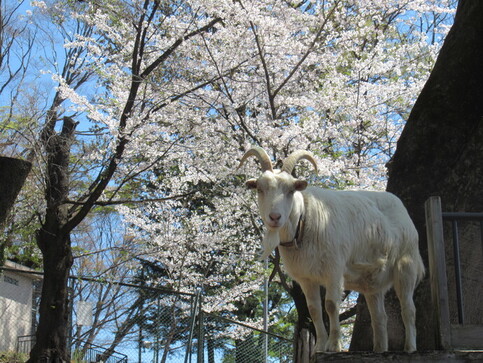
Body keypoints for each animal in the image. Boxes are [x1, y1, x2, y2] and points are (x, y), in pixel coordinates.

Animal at [238, 147, 424, 352]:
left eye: (291, 190)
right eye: (260, 189)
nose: (274, 217)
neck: (304, 221)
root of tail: (401, 208)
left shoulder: (334, 269)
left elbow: (331, 305)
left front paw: (334, 345)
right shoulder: (306, 279)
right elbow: (314, 310)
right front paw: (319, 346)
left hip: (406, 265)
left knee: (408, 309)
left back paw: (410, 348)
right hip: (372, 281)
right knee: (380, 317)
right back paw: (380, 349)